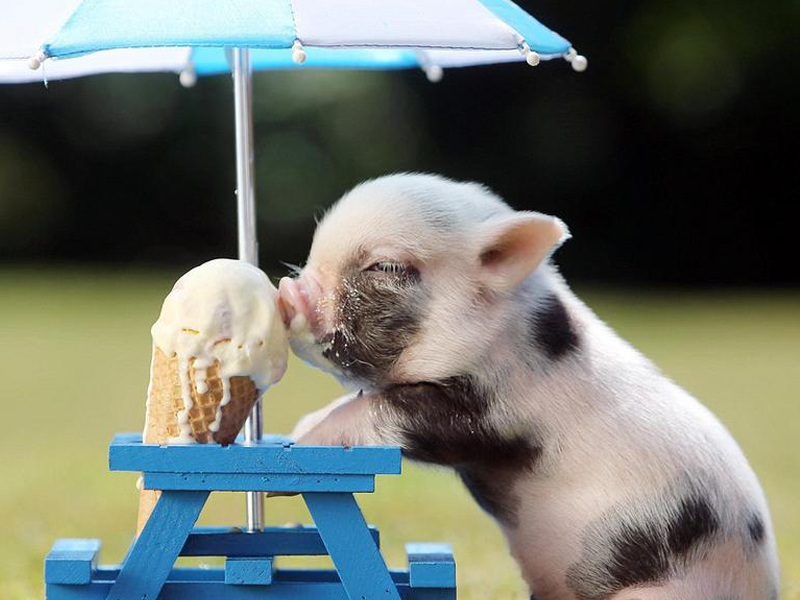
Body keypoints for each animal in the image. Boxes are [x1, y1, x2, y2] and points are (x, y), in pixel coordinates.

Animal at [278, 172, 780, 600]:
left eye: (385, 266)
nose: (288, 290)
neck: (505, 334)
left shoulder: (492, 413)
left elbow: (387, 410)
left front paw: (301, 441)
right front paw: (300, 427)